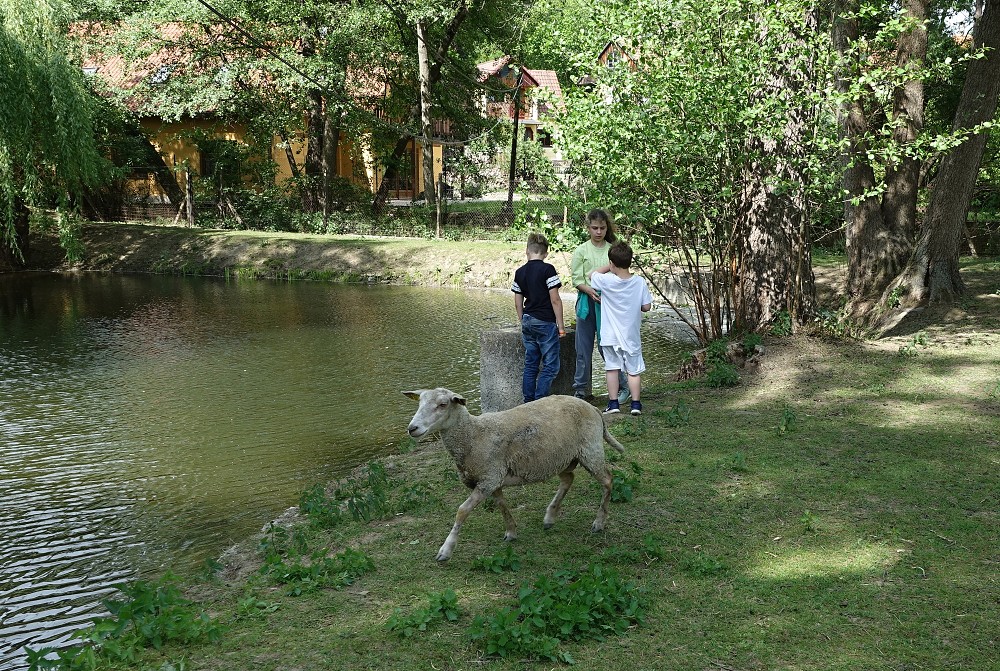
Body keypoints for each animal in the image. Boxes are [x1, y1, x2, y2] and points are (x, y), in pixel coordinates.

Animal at [400, 388, 620, 560]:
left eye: (443, 404)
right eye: (419, 403)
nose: (412, 428)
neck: (473, 436)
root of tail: (592, 408)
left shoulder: (488, 479)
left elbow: (462, 511)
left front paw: (445, 550)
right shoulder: (493, 479)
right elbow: (502, 505)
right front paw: (511, 532)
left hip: (590, 450)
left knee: (608, 480)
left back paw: (599, 522)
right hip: (562, 457)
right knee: (568, 479)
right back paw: (549, 517)